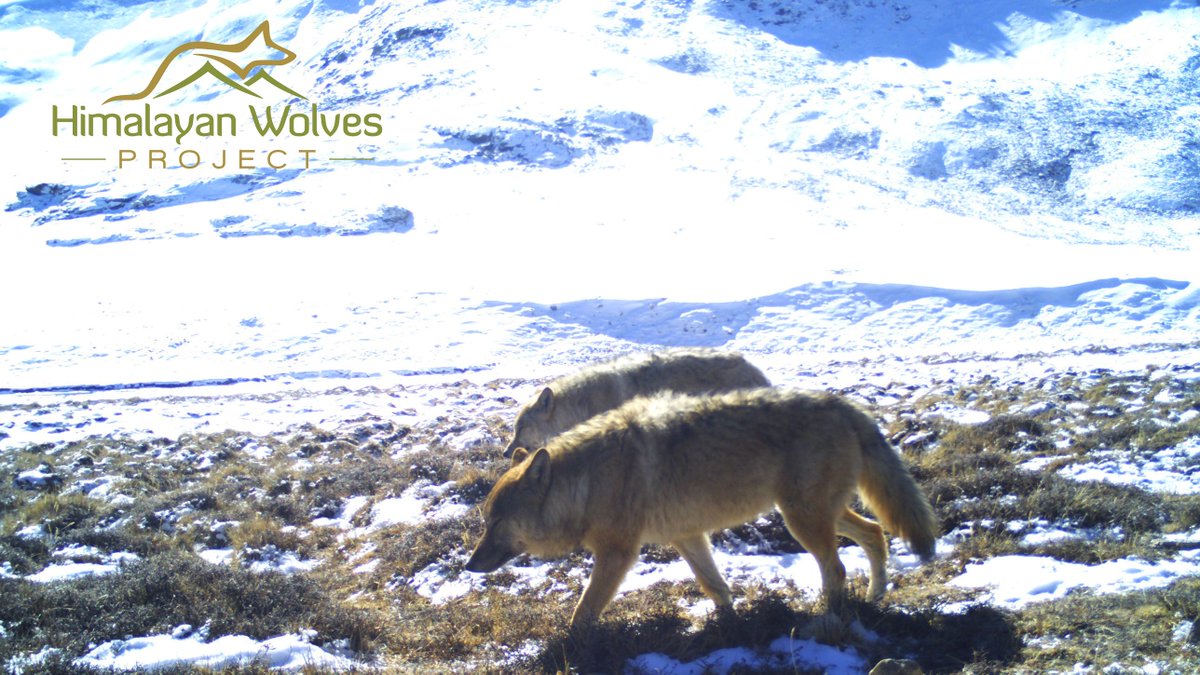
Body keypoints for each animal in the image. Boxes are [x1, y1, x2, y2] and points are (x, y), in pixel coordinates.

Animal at [467, 388, 938, 631]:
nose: (470, 566)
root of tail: (843, 403)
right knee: (875, 533)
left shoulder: (618, 554)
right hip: (818, 514)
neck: (587, 482)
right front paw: (726, 628)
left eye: (495, 522)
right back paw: (875, 597)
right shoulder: (687, 536)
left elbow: (582, 614)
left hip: (802, 520)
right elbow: (716, 588)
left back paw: (828, 619)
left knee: (837, 568)